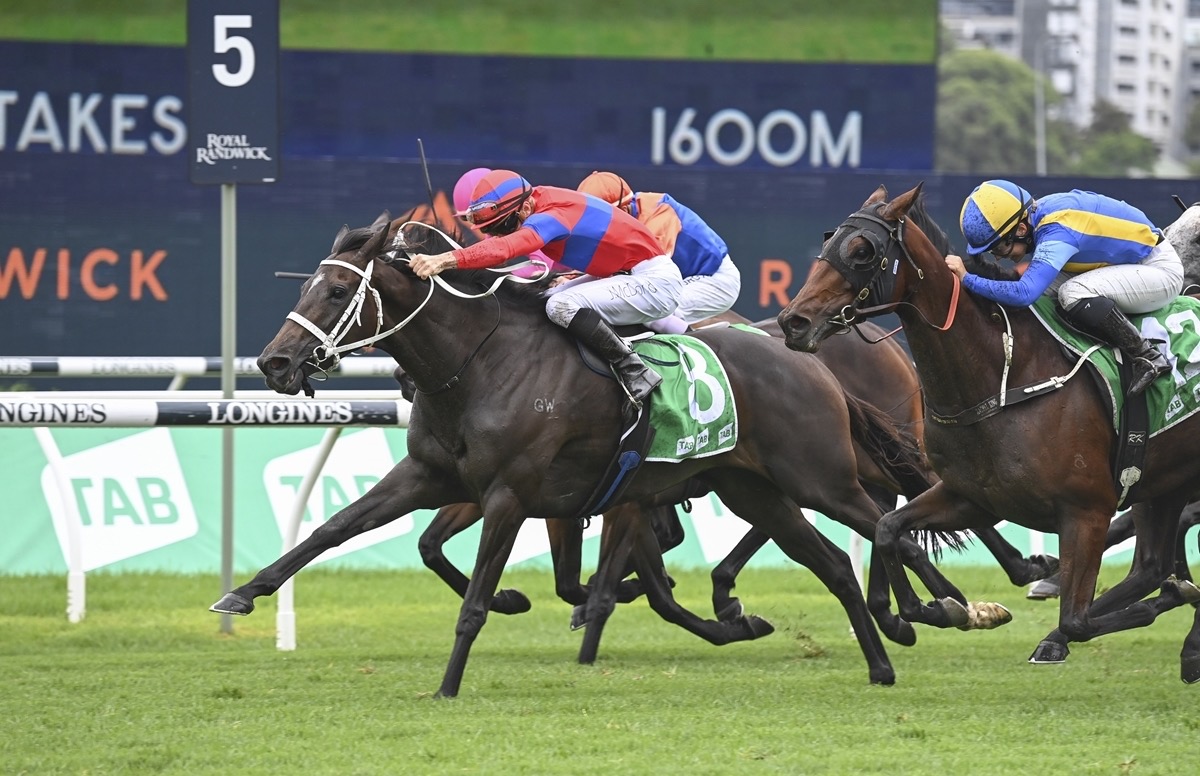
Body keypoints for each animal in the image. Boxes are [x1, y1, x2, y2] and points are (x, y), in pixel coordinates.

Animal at [772, 184, 1200, 681]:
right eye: (829, 242)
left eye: (863, 250)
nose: (793, 321)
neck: (1004, 376)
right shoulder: (972, 497)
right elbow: (887, 528)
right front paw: (950, 609)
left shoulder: (1087, 511)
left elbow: (1078, 619)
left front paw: (1169, 597)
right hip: (1164, 482)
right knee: (1149, 566)